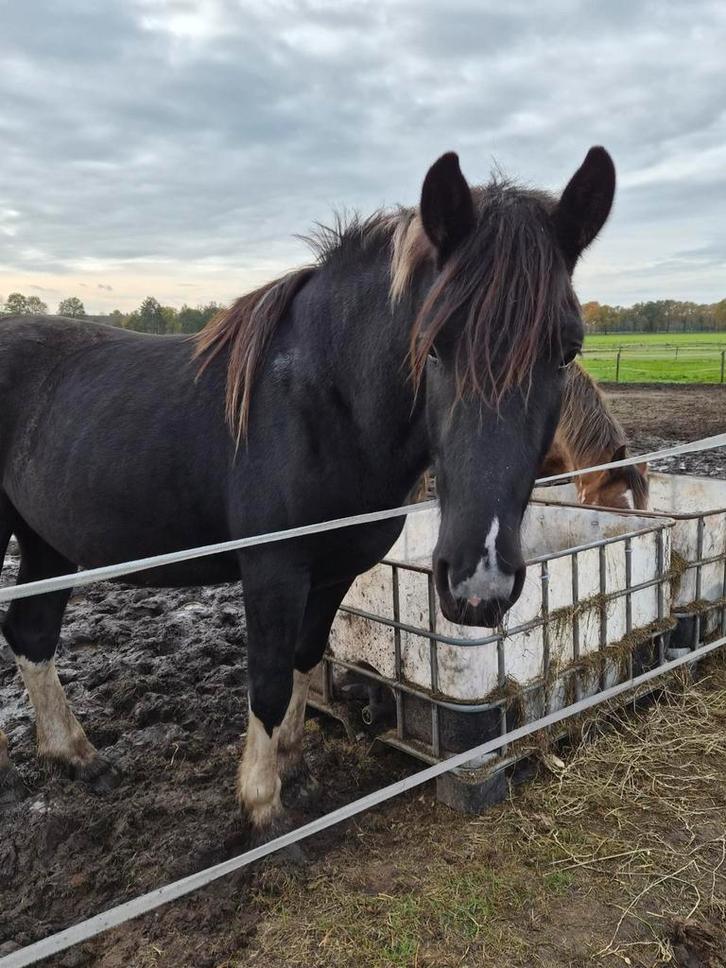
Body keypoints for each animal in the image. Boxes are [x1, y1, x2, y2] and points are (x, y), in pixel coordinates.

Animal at [0, 147, 614, 832]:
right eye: (433, 346)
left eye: (567, 351)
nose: (478, 584)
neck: (322, 404)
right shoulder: (273, 570)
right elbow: (268, 680)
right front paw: (263, 808)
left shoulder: (334, 569)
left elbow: (303, 658)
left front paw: (294, 768)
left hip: (47, 543)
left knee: (30, 634)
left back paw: (77, 756)